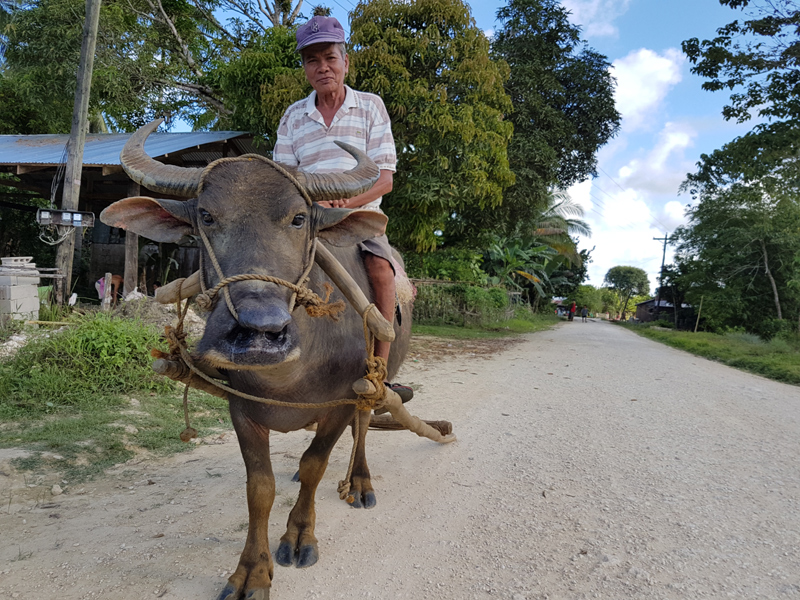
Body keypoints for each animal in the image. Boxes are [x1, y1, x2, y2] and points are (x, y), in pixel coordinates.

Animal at [101, 119, 412, 596]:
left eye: (299, 218)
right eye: (206, 216)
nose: (260, 332)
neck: (287, 376)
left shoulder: (340, 403)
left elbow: (316, 463)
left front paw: (300, 536)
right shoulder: (242, 409)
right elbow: (260, 487)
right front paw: (251, 570)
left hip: (374, 382)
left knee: (364, 424)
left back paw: (360, 482)